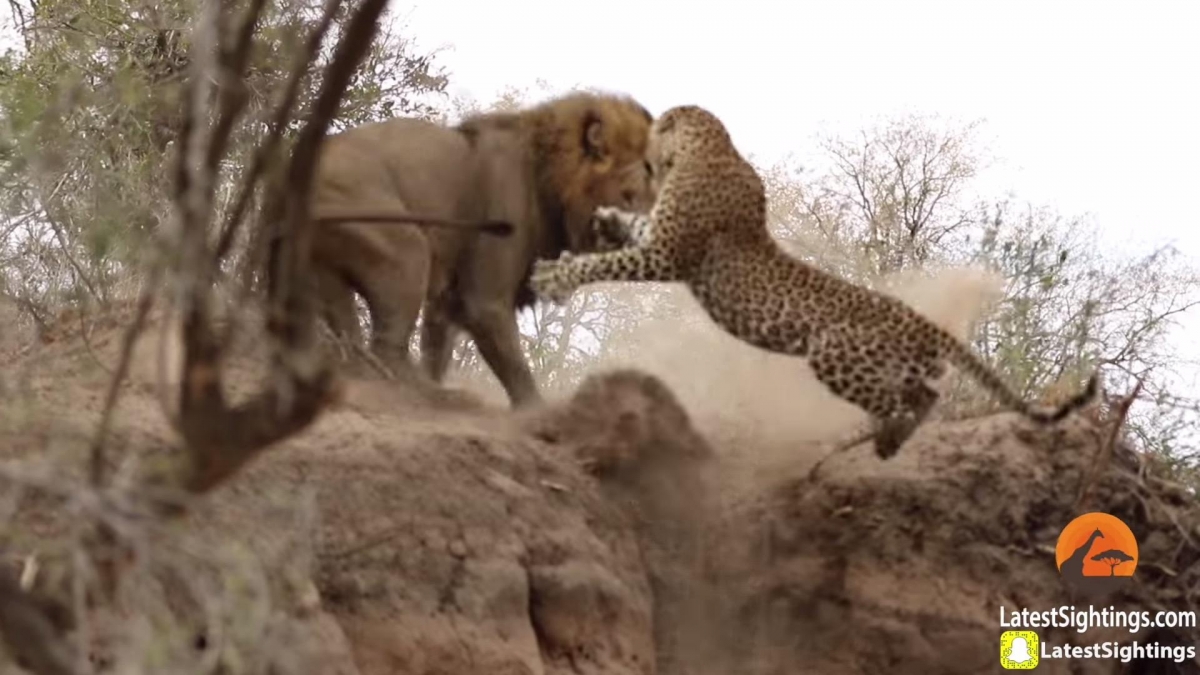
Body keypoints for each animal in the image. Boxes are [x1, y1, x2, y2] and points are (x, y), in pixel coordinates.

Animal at [309, 91, 656, 407]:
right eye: (629, 193)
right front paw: (535, 409)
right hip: (404, 247)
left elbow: (436, 350)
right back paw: (434, 395)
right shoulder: (484, 298)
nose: (650, 230)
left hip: (326, 271)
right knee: (387, 345)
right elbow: (514, 364)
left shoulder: (447, 298)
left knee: (350, 335)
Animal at [530, 104, 1101, 459]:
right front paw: (606, 220)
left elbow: (606, 266)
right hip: (899, 366)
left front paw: (554, 275)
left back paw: (882, 438)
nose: (640, 157)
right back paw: (889, 443)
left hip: (834, 355)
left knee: (899, 405)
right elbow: (629, 231)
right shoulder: (659, 240)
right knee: (927, 395)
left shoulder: (668, 255)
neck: (708, 146)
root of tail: (923, 322)